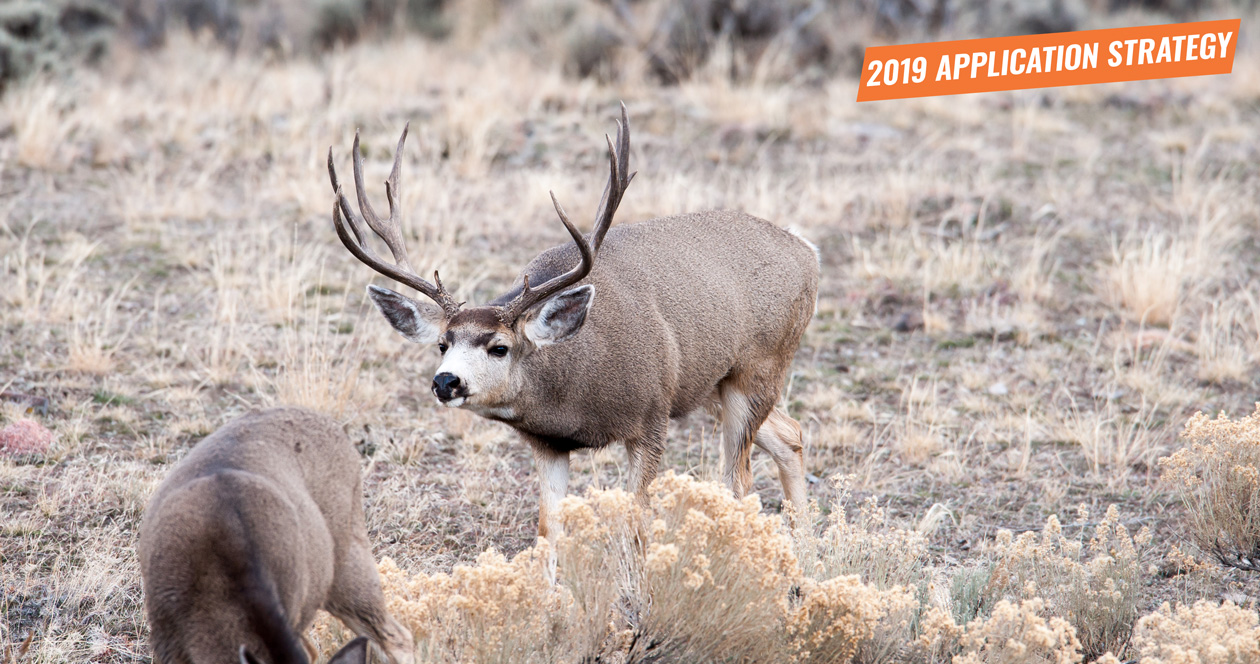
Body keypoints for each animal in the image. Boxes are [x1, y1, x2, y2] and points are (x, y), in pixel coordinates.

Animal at [327, 104, 819, 542]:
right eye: (443, 344)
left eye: (499, 346)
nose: (446, 381)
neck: (576, 389)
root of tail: (806, 249)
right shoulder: (547, 442)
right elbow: (549, 529)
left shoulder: (652, 417)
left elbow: (636, 523)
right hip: (710, 382)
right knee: (789, 434)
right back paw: (804, 555)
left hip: (759, 366)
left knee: (740, 480)